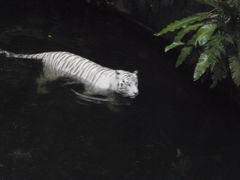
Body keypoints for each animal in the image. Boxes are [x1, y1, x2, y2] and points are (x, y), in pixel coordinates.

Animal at [0, 50, 139, 98]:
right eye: (127, 84)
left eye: (136, 83)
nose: (136, 93)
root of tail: (49, 53)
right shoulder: (90, 90)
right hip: (51, 74)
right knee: (39, 80)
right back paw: (42, 91)